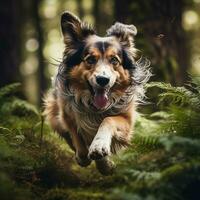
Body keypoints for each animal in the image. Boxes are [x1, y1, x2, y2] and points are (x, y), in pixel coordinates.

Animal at [43, 11, 150, 175]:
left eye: (114, 60)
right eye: (91, 59)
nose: (103, 80)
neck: (94, 107)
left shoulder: (126, 120)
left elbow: (108, 120)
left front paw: (100, 151)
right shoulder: (67, 115)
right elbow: (78, 139)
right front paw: (87, 158)